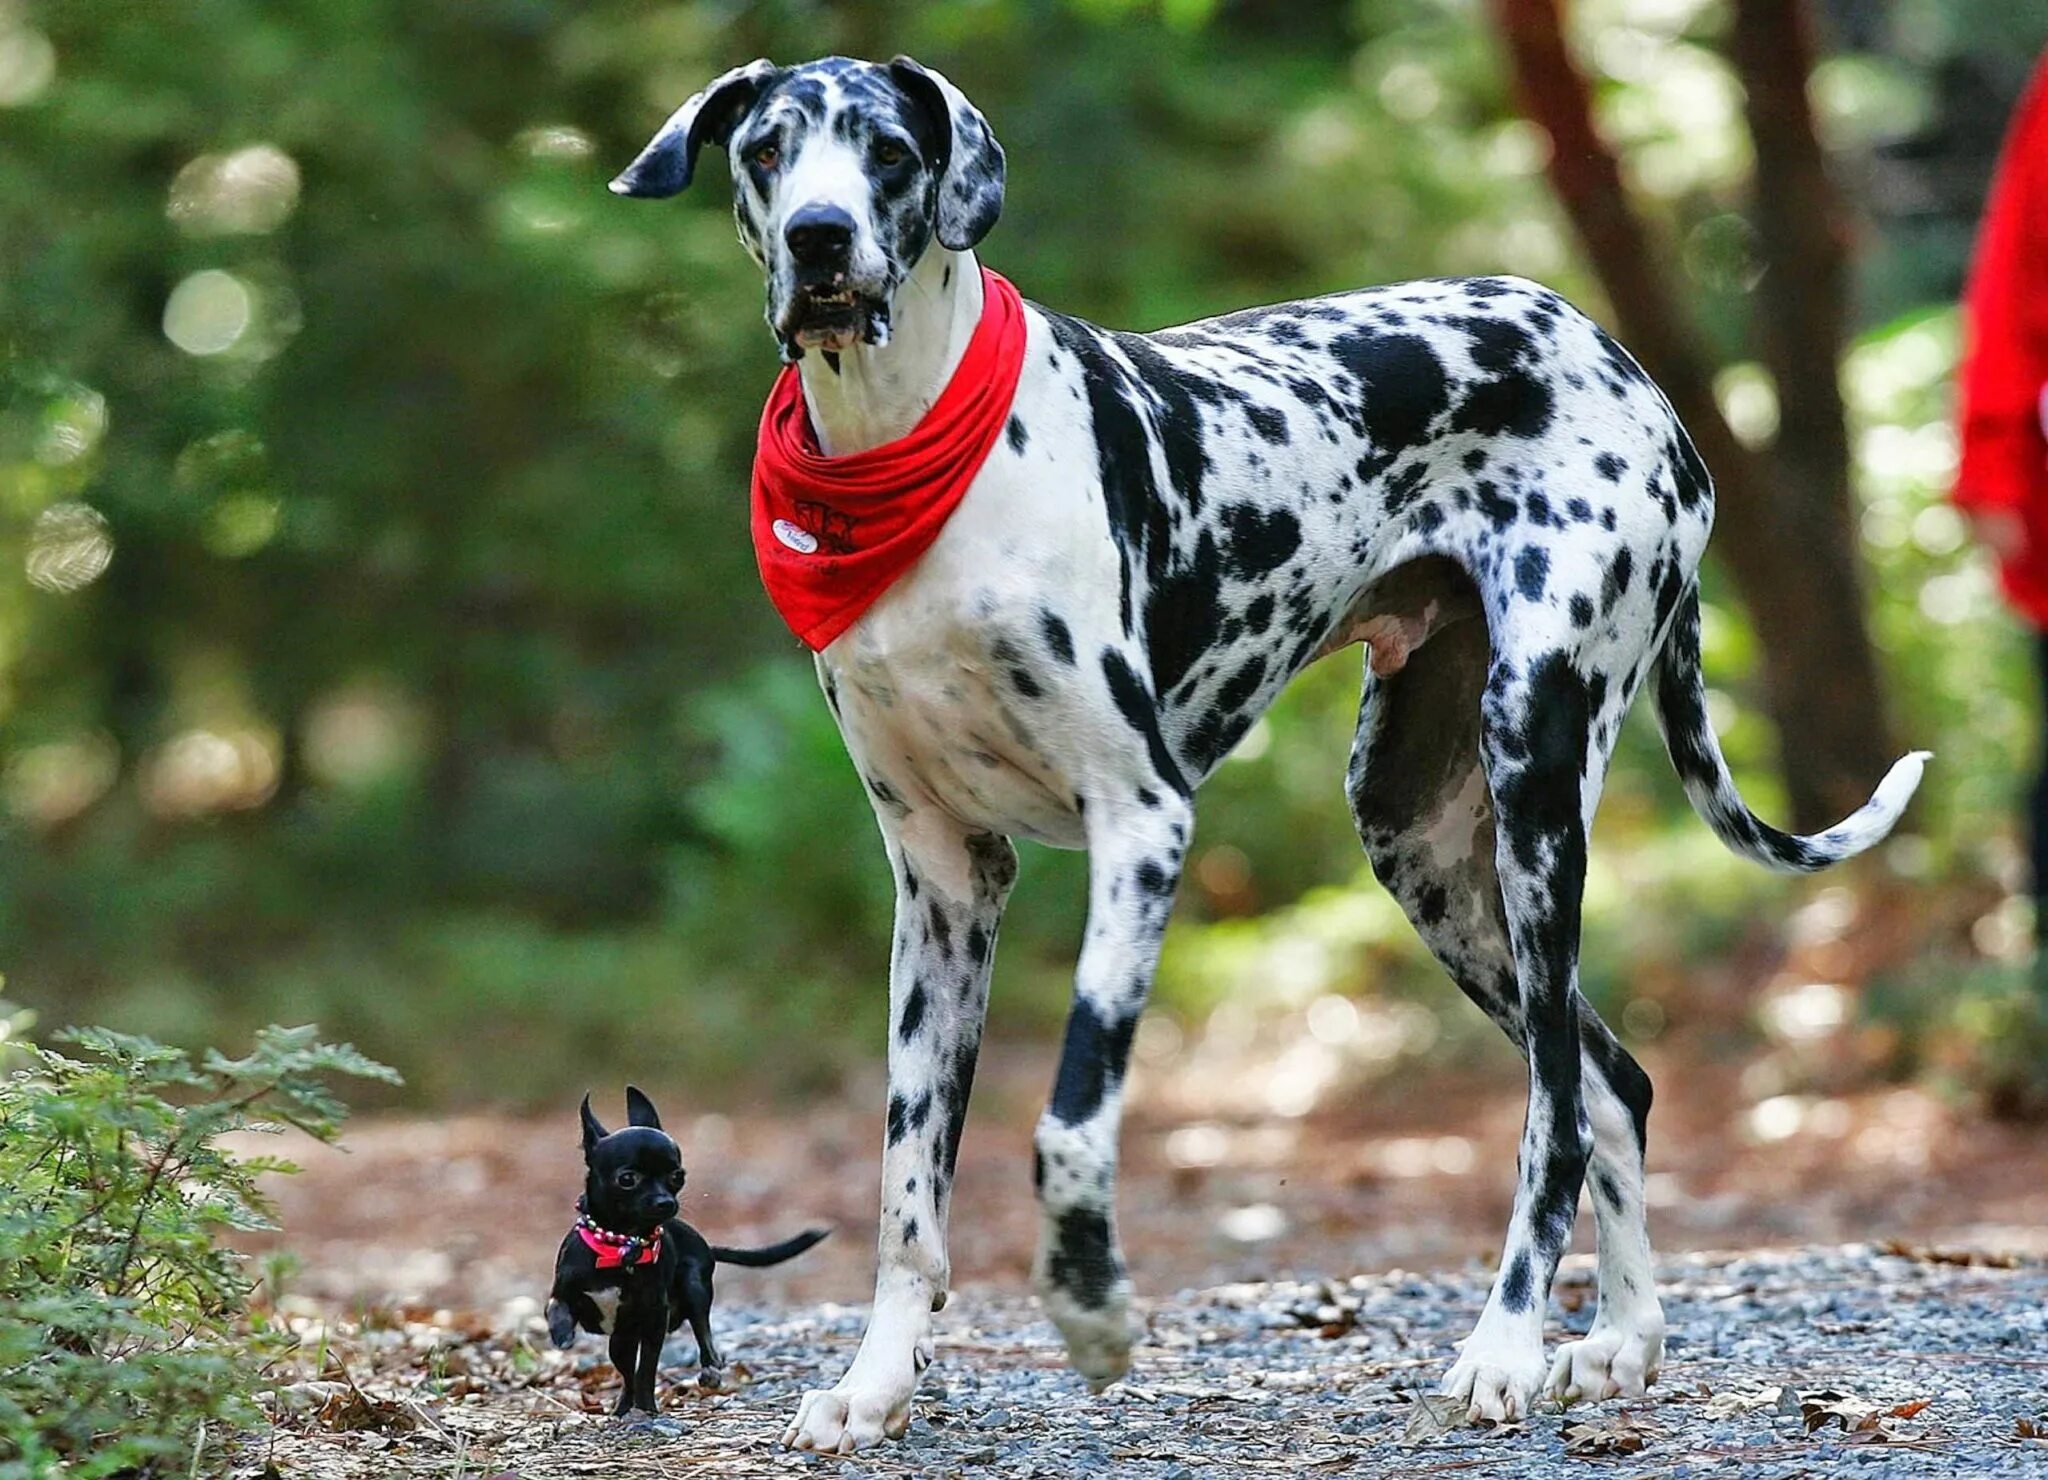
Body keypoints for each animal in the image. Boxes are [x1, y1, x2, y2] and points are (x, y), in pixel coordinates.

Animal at [602, 55, 1916, 1449]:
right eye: (767, 150)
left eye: (889, 153)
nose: (820, 236)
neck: (909, 454)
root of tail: (1612, 352)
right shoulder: (944, 881)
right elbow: (908, 1183)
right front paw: (874, 1382)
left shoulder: (1140, 825)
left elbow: (1068, 1123)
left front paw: (1091, 1312)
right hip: (1420, 845)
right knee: (1611, 1082)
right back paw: (1621, 1336)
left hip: (1533, 789)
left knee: (1557, 1108)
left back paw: (1503, 1345)